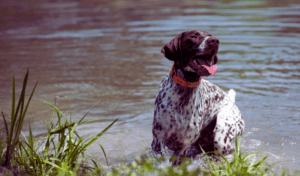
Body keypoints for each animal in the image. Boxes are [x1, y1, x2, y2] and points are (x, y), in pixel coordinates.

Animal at [151, 30, 245, 165]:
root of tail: (230, 100)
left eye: (210, 35)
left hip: (222, 135)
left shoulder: (183, 146)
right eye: (194, 36)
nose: (215, 41)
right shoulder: (158, 142)